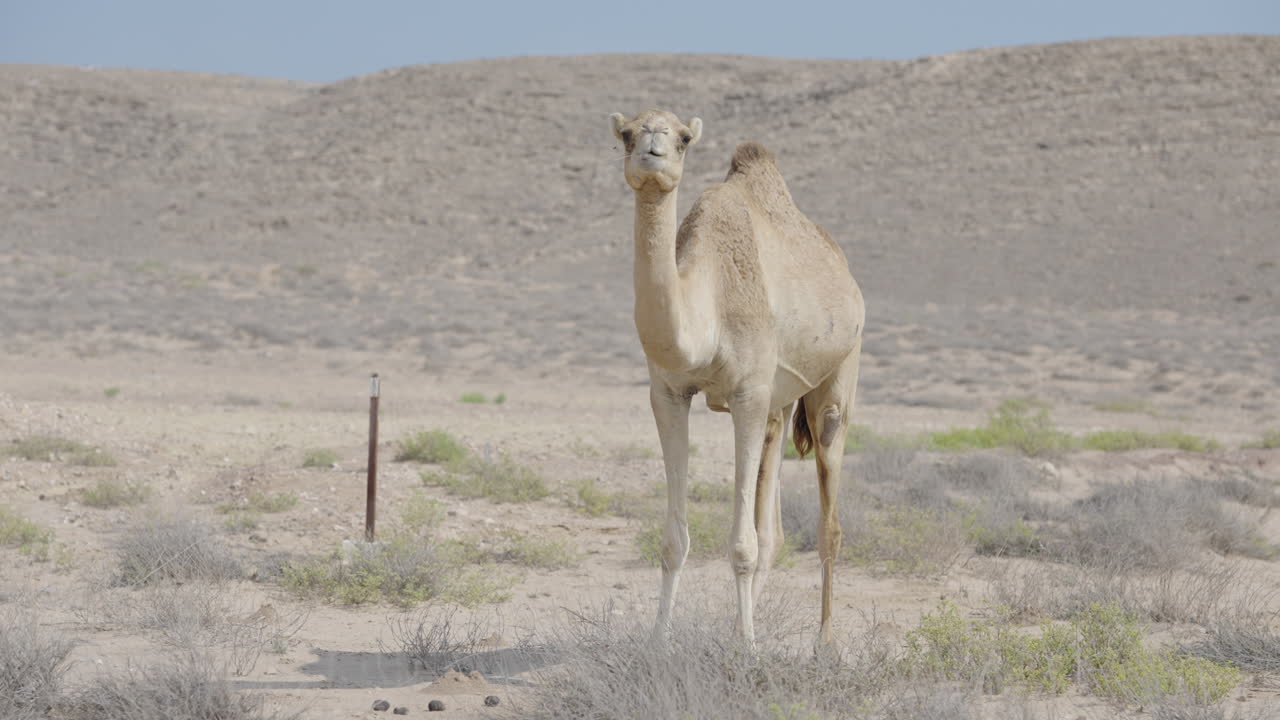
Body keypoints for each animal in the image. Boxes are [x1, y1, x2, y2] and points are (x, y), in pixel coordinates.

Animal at [609, 109, 864, 646]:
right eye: (626, 133)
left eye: (684, 138)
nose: (651, 150)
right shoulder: (668, 393)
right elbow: (674, 539)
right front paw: (659, 641)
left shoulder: (747, 394)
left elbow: (742, 544)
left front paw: (748, 649)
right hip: (779, 403)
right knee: (774, 529)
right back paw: (741, 627)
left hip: (839, 372)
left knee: (828, 519)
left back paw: (825, 644)